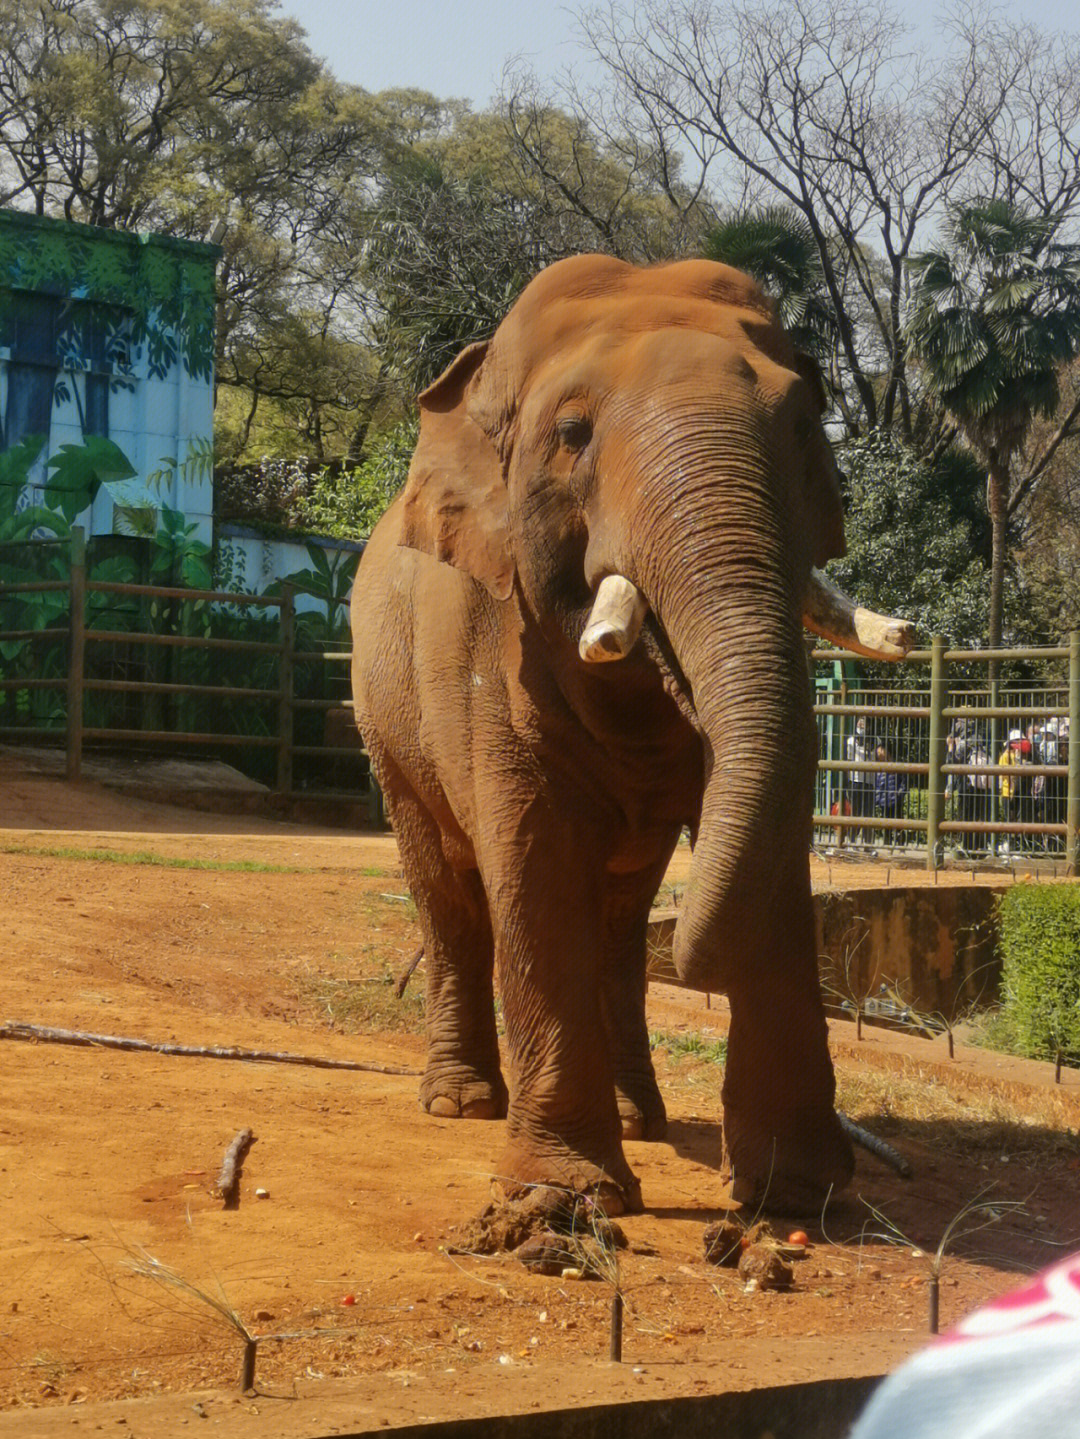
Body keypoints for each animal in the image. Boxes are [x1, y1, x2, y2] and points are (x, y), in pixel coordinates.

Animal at [352, 259, 914, 1214]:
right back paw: (461, 1103)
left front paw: (796, 1196)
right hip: (384, 722)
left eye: (803, 427)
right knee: (449, 886)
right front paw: (568, 1195)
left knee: (618, 920)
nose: (698, 965)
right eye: (572, 434)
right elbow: (534, 853)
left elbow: (774, 838)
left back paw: (636, 1116)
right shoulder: (490, 629)